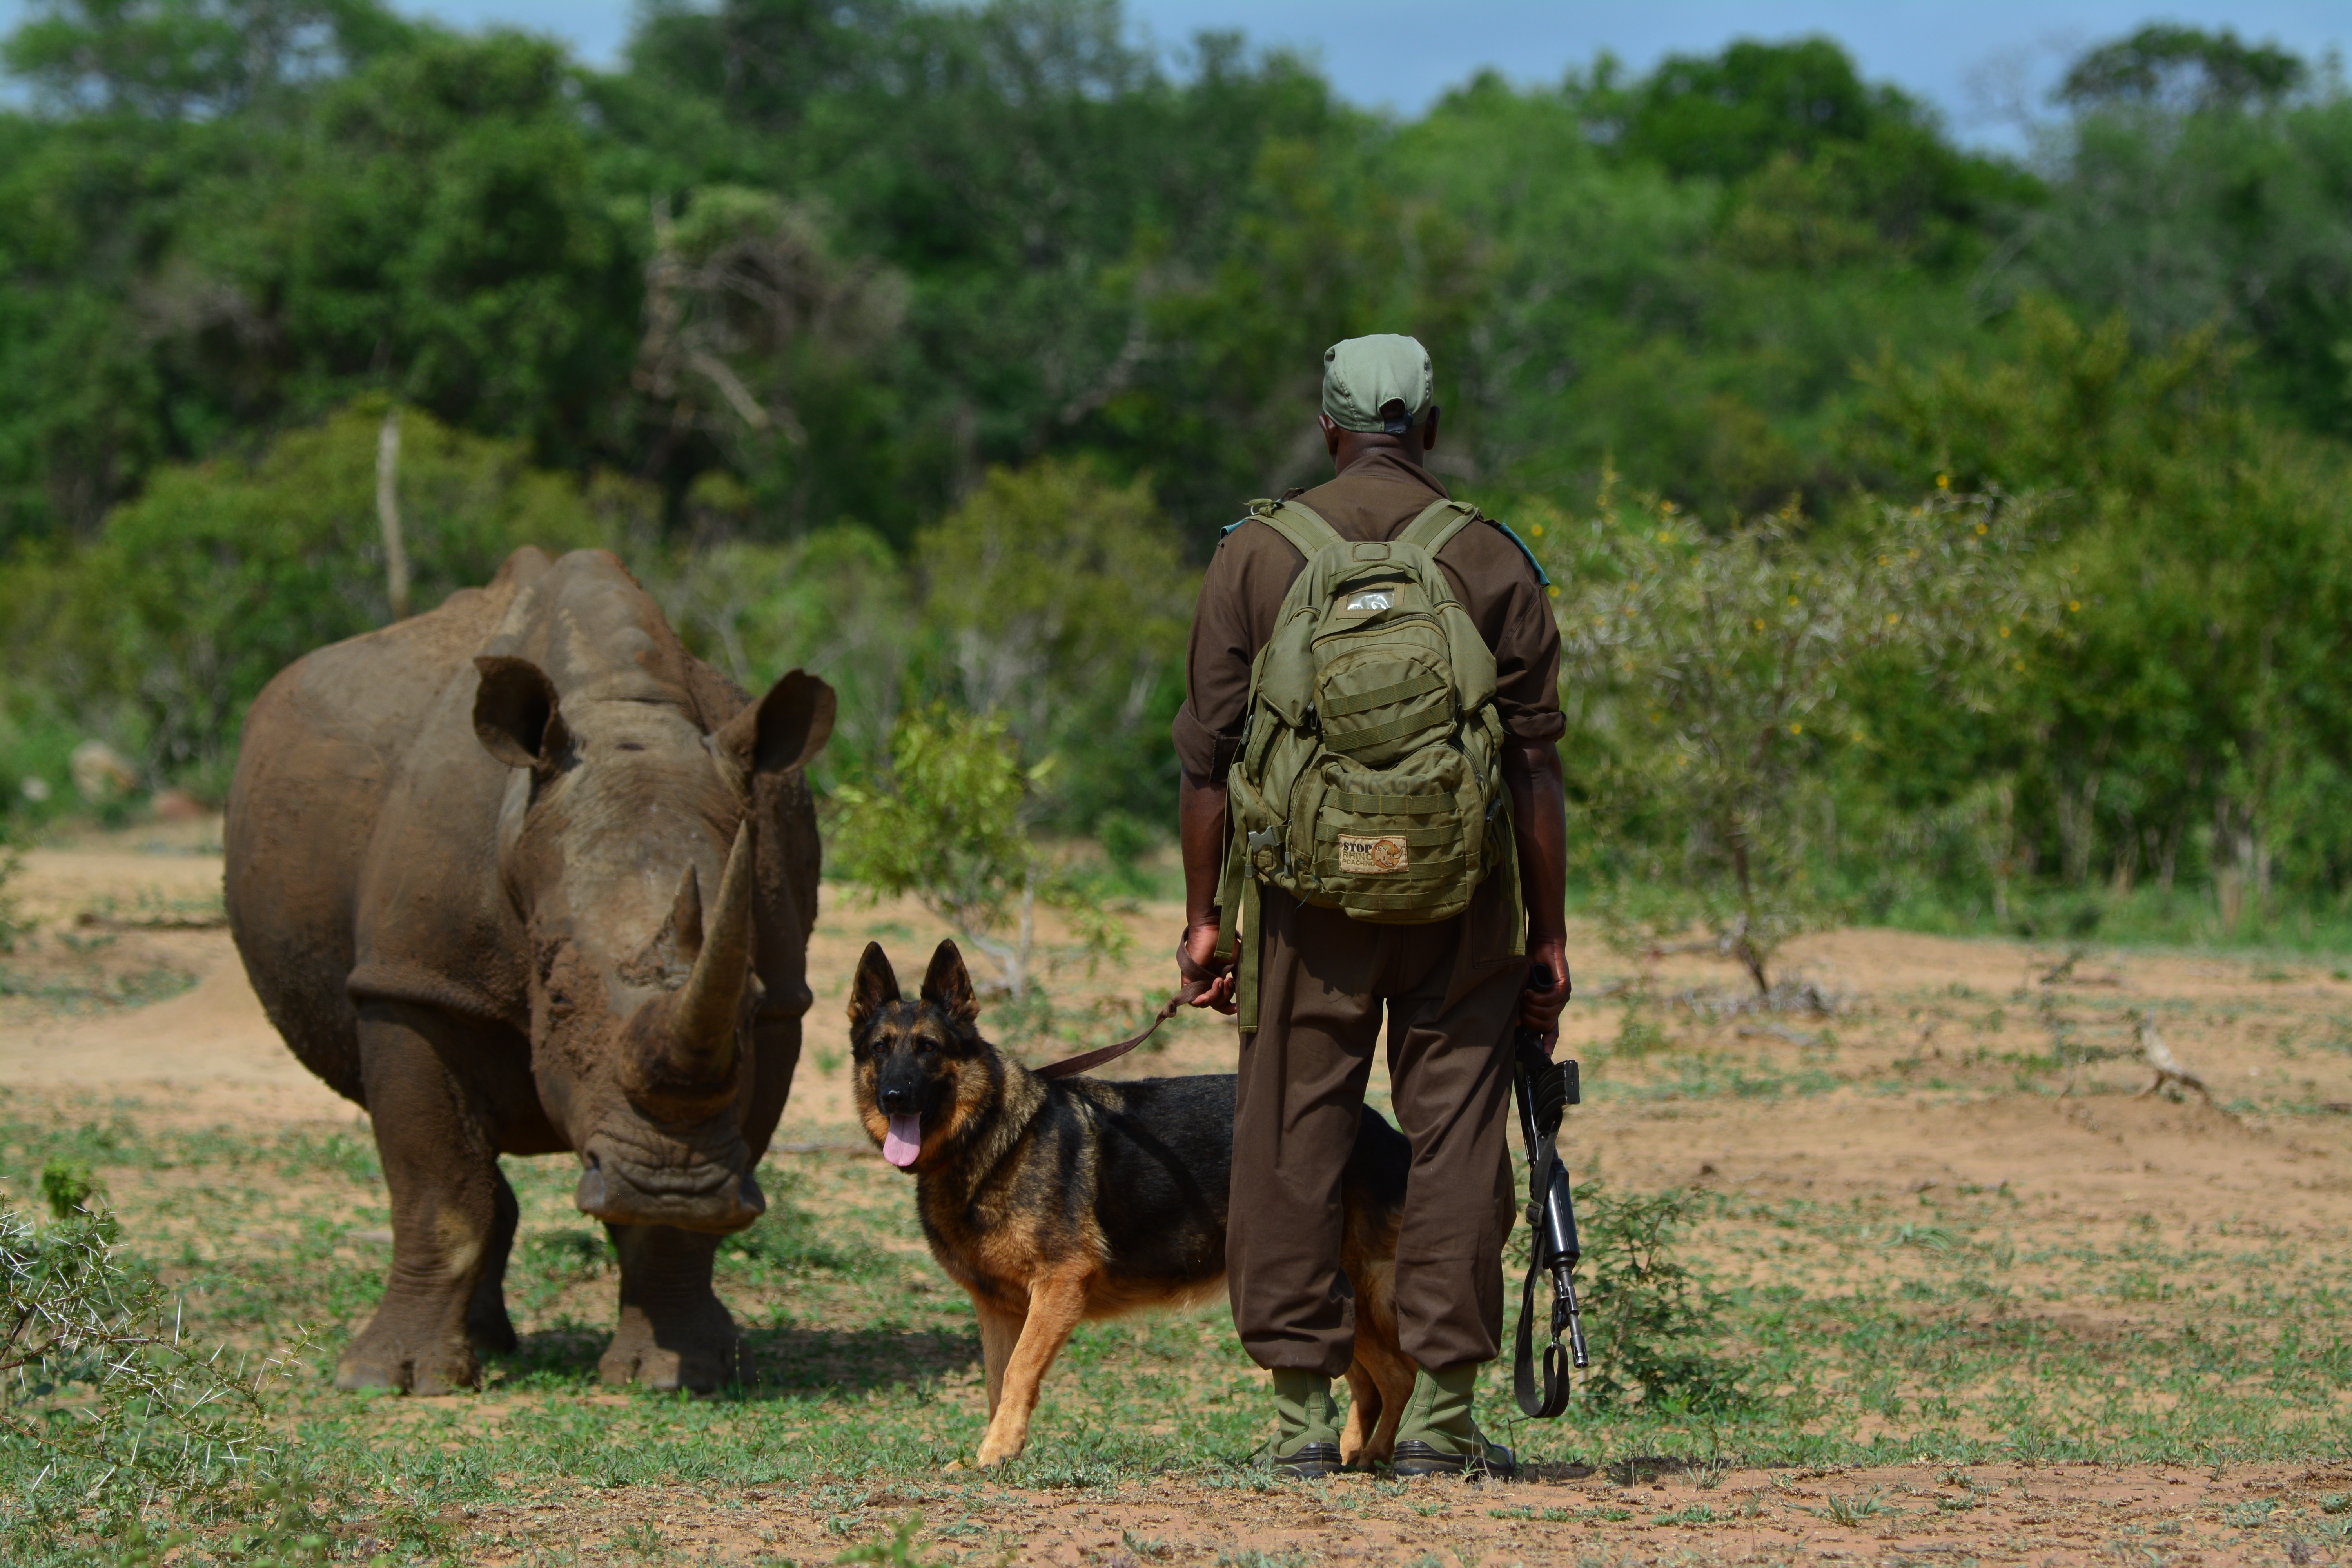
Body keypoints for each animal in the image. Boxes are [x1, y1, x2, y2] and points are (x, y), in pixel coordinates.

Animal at [851, 945, 1411, 1476]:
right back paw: (1347, 1453)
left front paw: (998, 1450)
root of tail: (1381, 1127)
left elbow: (1018, 1371)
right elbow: (996, 1381)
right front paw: (994, 1449)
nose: (893, 1097)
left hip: (1346, 1295)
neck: (988, 1135)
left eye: (928, 1048)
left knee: (1398, 1375)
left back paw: (1376, 1456)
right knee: (1368, 1383)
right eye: (880, 1049)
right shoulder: (998, 1308)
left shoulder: (1060, 1285)